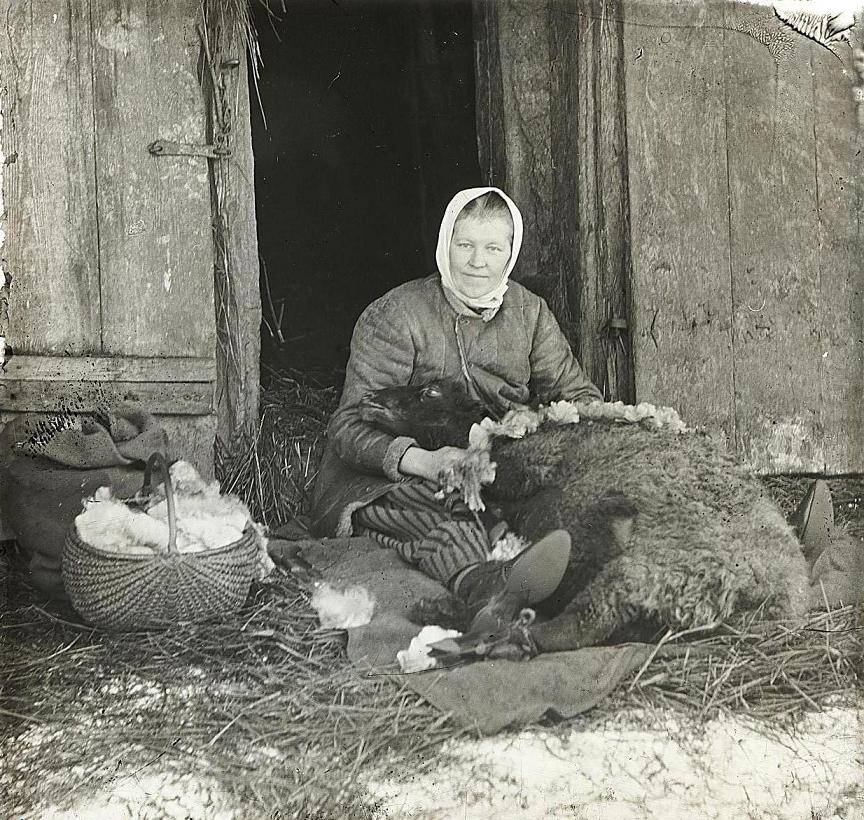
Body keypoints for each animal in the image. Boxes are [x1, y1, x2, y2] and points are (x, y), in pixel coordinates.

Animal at [356, 380, 808, 652]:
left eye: (429, 392)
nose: (368, 400)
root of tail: (770, 595)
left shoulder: (525, 465)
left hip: (648, 572)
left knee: (577, 625)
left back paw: (501, 629)